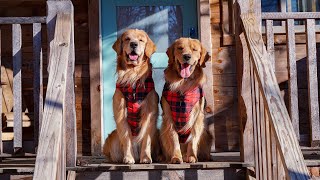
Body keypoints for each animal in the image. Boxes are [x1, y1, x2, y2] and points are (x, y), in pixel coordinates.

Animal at [103, 28, 160, 164]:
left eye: (141, 40)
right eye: (127, 39)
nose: (134, 44)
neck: (133, 75)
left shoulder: (150, 113)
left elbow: (146, 138)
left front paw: (146, 158)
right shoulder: (120, 112)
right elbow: (126, 137)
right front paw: (128, 157)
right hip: (111, 138)